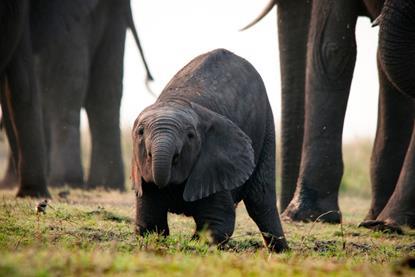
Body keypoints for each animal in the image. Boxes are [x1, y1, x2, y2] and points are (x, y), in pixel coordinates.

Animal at [132, 48, 288, 251]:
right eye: (140, 132)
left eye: (190, 136)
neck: (177, 101)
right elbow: (150, 222)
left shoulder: (215, 162)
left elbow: (218, 222)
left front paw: (194, 245)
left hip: (267, 124)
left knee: (260, 200)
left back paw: (282, 253)